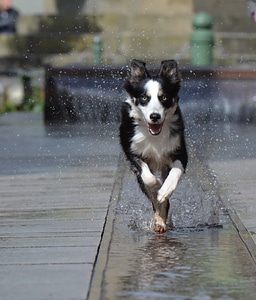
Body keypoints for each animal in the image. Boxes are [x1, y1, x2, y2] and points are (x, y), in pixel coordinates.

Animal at [119, 59, 188, 234]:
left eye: (164, 97)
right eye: (144, 97)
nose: (155, 116)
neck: (154, 136)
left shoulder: (179, 150)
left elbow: (176, 171)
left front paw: (164, 190)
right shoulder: (132, 152)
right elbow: (149, 179)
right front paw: (157, 185)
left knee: (165, 201)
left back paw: (161, 220)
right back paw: (158, 220)